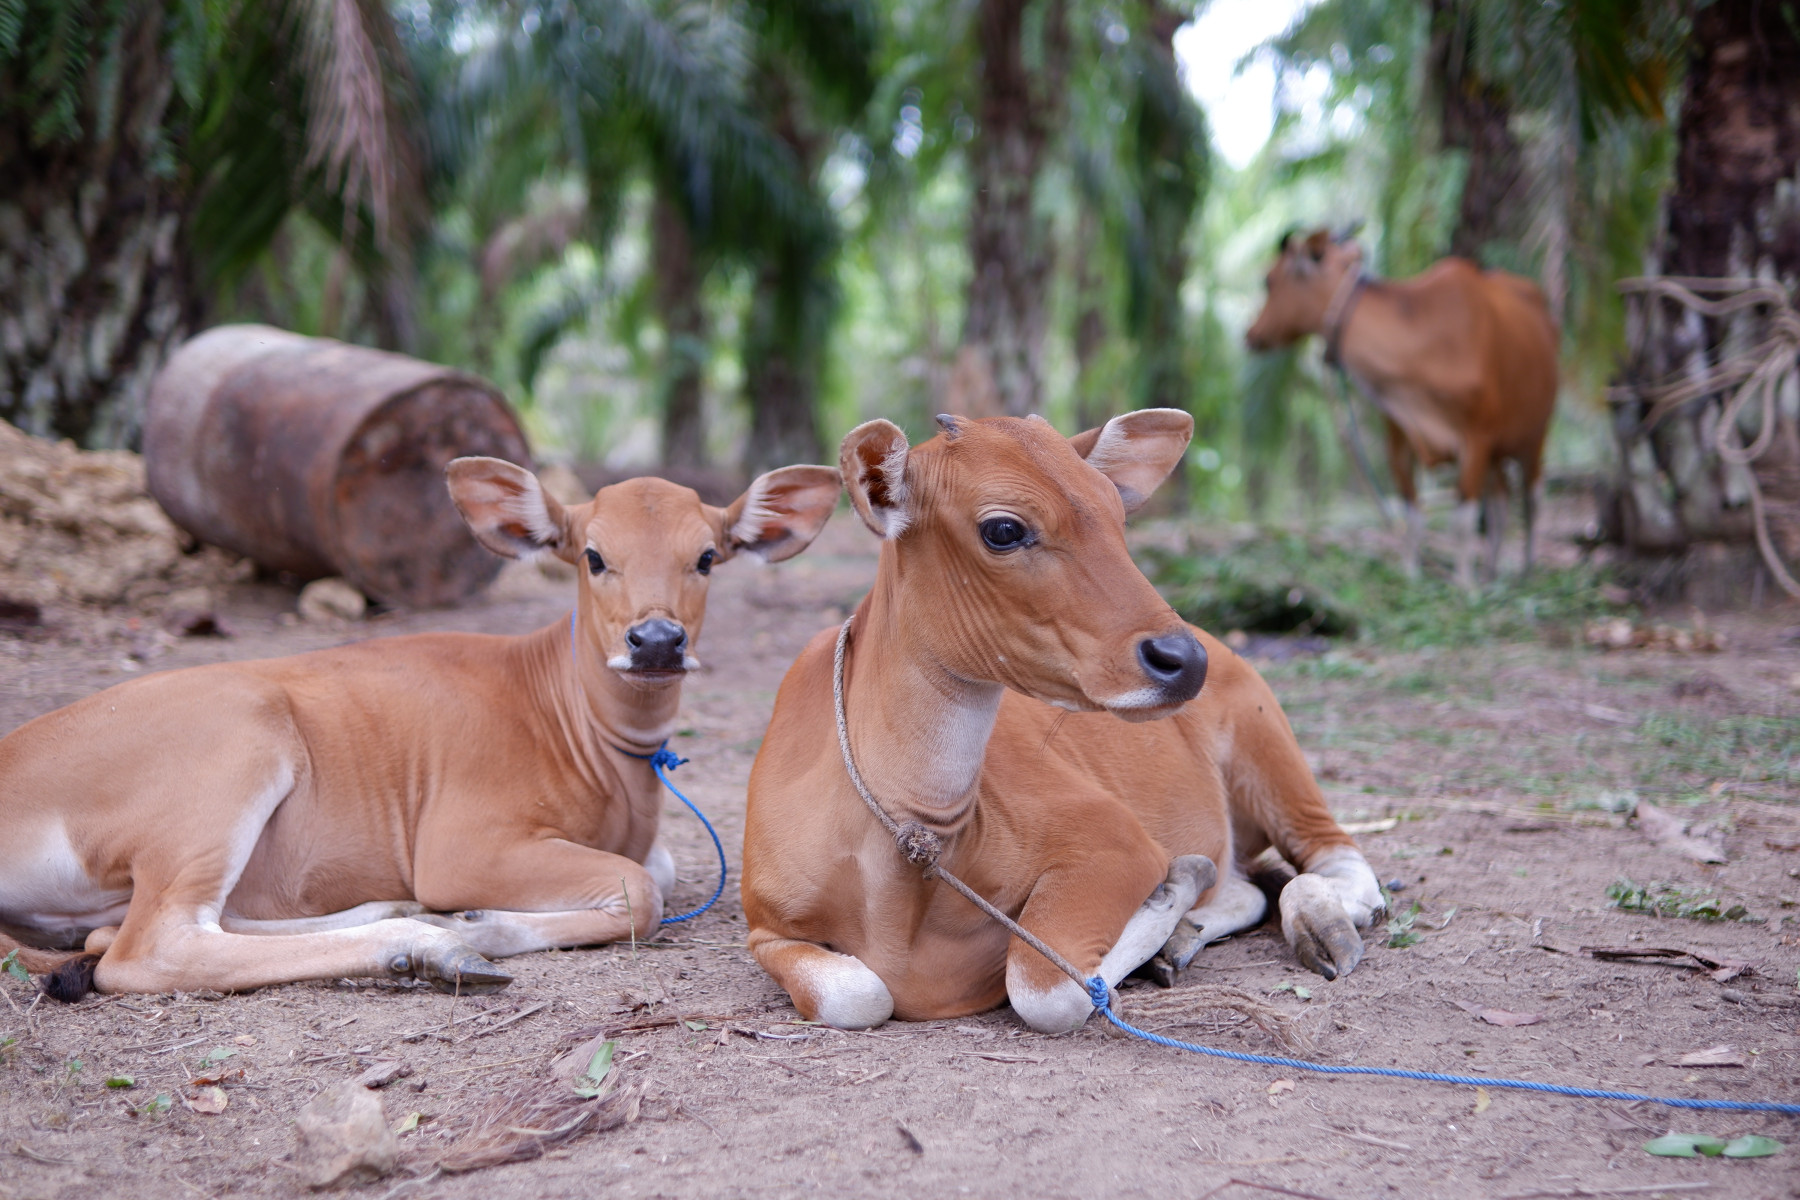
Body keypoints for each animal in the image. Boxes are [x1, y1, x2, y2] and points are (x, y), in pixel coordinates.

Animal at [0, 458, 840, 999]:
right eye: (594, 555)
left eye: (707, 557)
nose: (657, 641)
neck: (593, 746)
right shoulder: (461, 840)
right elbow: (641, 891)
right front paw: (482, 923)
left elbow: (655, 871)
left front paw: (472, 919)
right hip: (230, 760)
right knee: (149, 948)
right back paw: (428, 948)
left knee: (162, 929)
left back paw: (409, 920)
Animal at [740, 411, 1384, 1034]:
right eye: (1003, 529)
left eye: (1117, 513)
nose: (1183, 658)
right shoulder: (764, 925)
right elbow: (857, 994)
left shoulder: (1114, 839)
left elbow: (1044, 986)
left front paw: (1171, 887)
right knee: (1249, 884)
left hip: (1269, 746)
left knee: (1335, 857)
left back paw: (1317, 919)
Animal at [1245, 228, 1559, 588]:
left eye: (1269, 280)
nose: (1251, 333)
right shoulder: (1399, 437)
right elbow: (1412, 513)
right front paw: (1412, 575)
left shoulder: (1477, 438)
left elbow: (1462, 520)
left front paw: (1464, 585)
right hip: (1497, 453)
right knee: (1500, 500)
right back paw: (1491, 572)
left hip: (1535, 433)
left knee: (1532, 500)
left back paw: (1526, 571)